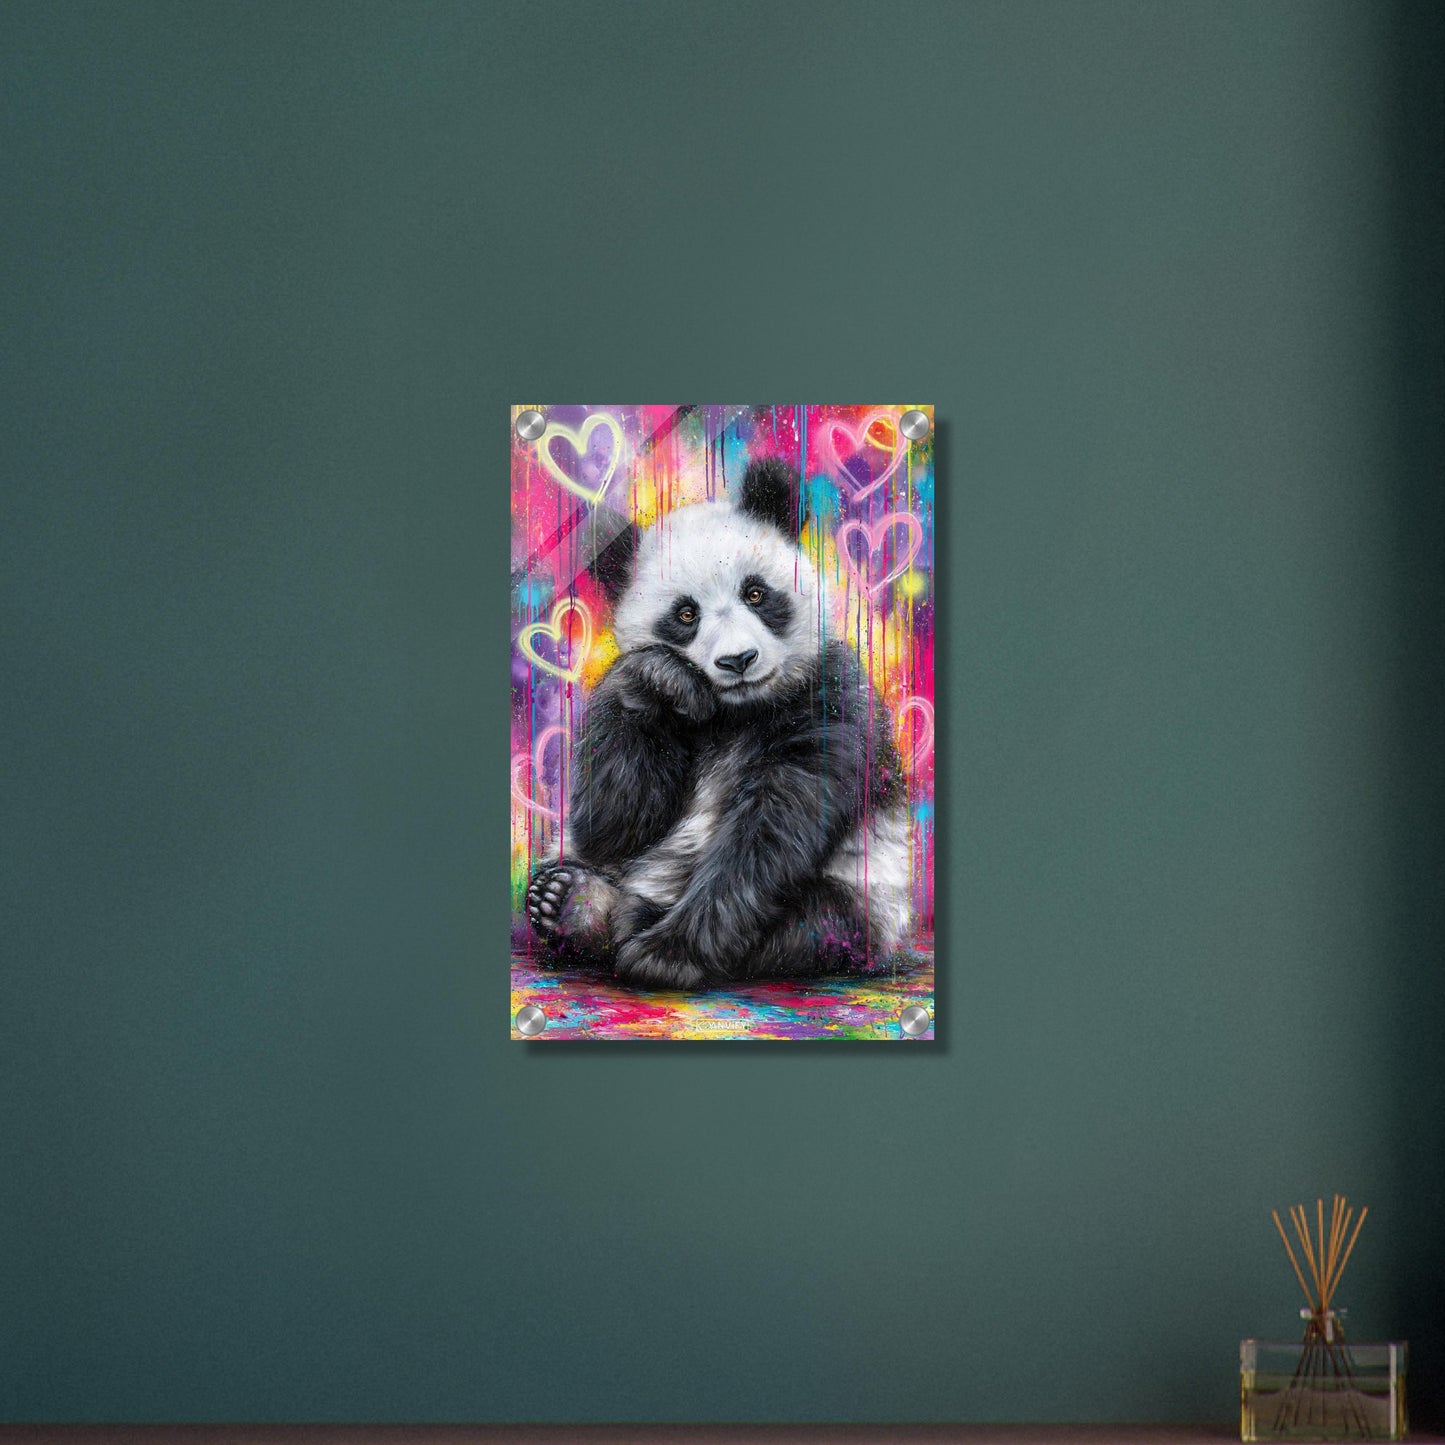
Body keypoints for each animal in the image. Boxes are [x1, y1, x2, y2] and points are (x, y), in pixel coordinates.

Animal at [525, 456, 912, 990]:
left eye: (756, 593)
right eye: (686, 614)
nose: (738, 660)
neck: (736, 713)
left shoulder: (831, 702)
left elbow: (769, 830)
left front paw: (666, 955)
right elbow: (617, 822)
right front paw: (661, 678)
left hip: (868, 903)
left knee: (812, 923)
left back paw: (611, 914)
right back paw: (568, 899)